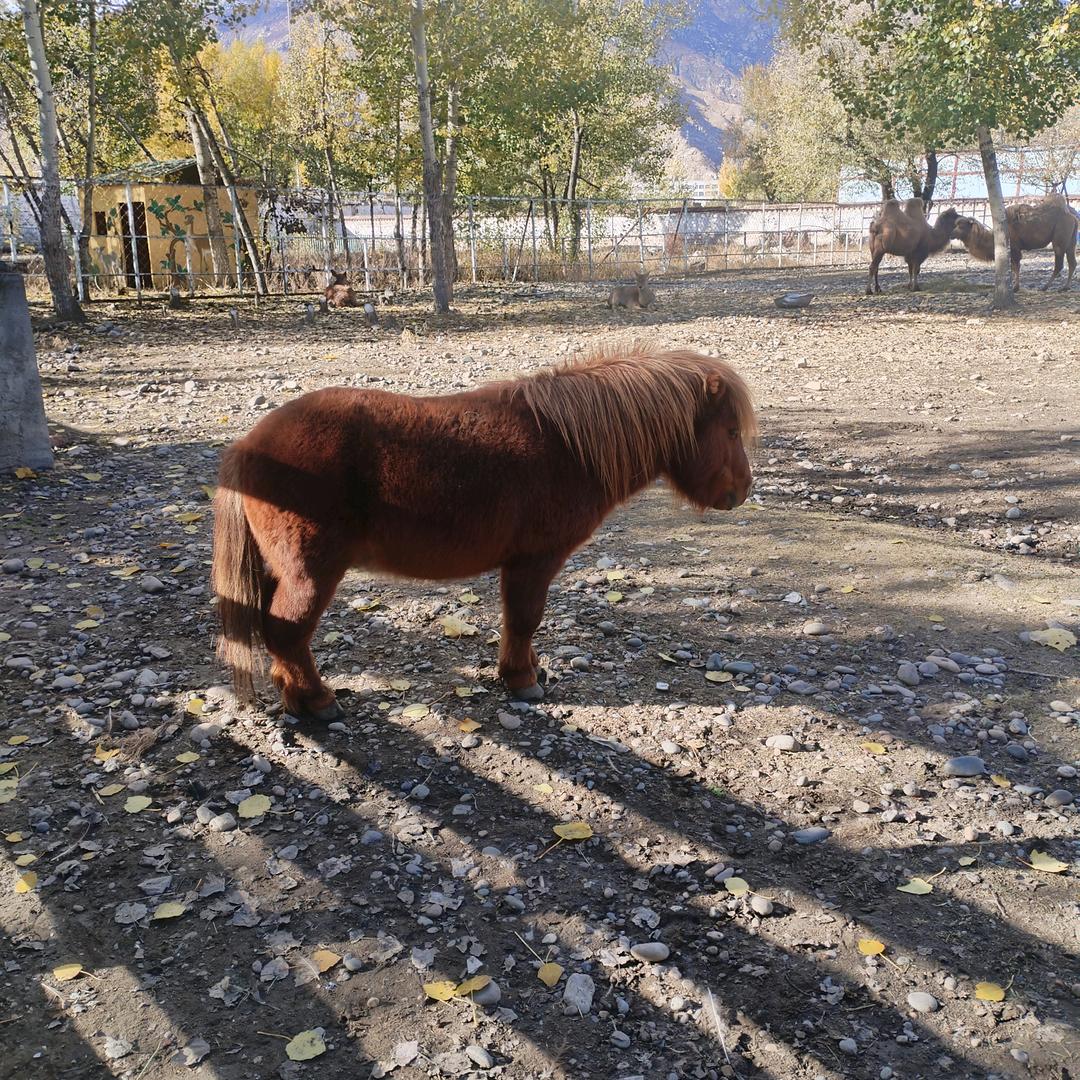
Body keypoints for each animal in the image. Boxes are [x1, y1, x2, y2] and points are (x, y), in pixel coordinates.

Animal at [211, 345, 757, 719]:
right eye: (730, 431)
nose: (742, 492)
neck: (567, 446)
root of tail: (246, 446)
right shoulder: (533, 562)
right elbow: (524, 619)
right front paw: (521, 680)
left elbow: (521, 624)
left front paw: (529, 668)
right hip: (310, 574)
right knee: (286, 631)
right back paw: (317, 701)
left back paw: (294, 696)